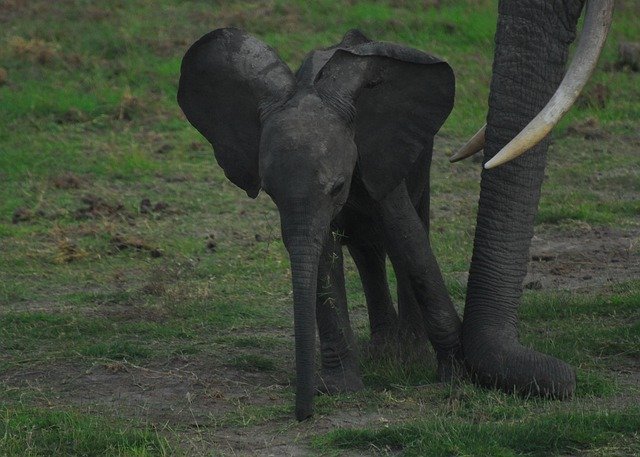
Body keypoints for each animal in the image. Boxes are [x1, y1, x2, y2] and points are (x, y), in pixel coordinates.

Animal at [178, 29, 462, 420]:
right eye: (269, 191)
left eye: (338, 186)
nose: (302, 413)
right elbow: (324, 259)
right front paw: (341, 389)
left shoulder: (377, 152)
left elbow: (409, 240)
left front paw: (456, 376)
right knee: (366, 248)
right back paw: (385, 353)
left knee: (404, 233)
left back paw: (409, 354)